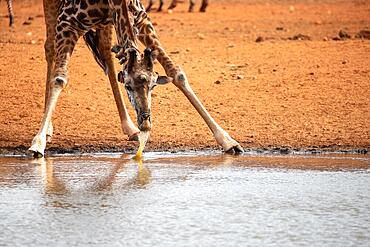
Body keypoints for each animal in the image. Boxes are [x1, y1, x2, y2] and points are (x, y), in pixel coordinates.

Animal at [28, 0, 243, 156]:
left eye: (154, 86)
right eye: (129, 86)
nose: (145, 122)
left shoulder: (141, 19)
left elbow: (177, 74)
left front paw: (228, 141)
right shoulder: (68, 22)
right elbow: (59, 78)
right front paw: (37, 143)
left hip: (105, 25)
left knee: (106, 55)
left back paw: (130, 127)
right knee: (49, 47)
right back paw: (48, 129)